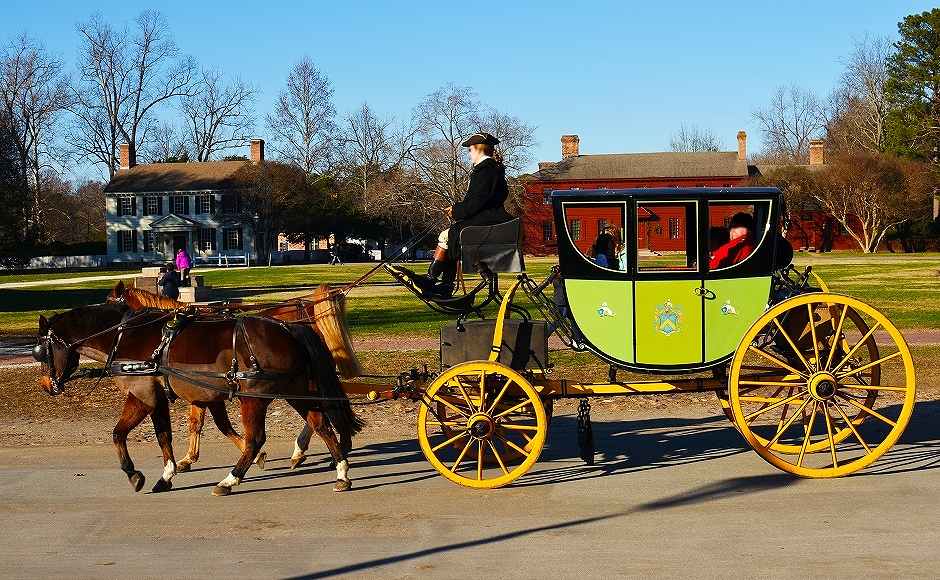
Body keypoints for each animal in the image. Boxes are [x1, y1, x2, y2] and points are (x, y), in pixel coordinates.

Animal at [36, 302, 362, 496]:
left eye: (40, 351)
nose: (47, 385)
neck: (124, 337)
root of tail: (290, 328)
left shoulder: (143, 394)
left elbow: (124, 434)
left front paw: (136, 474)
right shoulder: (168, 397)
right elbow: (164, 435)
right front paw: (165, 474)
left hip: (253, 397)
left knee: (257, 438)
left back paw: (230, 479)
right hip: (297, 391)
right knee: (321, 425)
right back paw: (341, 472)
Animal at [106, 280, 360, 472]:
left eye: (109, 301)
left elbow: (201, 423)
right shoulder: (199, 391)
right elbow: (197, 423)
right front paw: (190, 457)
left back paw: (316, 449)